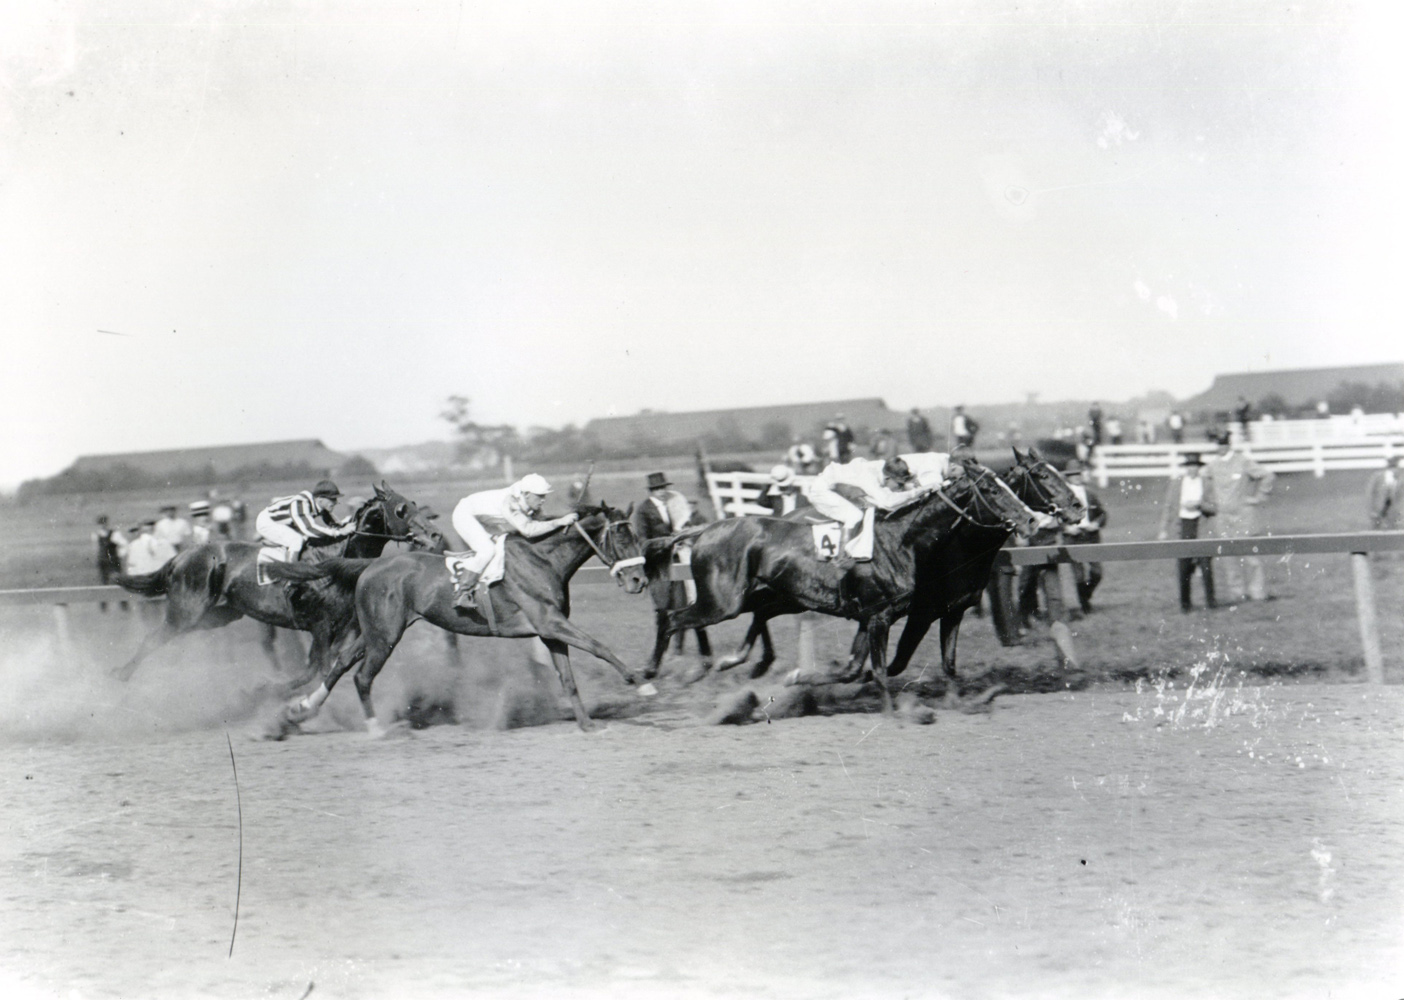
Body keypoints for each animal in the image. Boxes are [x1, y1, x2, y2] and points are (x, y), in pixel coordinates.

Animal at [113, 483, 443, 688]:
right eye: (401, 510)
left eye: (414, 504)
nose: (436, 535)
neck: (337, 561)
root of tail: (182, 555)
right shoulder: (320, 626)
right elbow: (317, 670)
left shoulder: (347, 626)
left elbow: (326, 667)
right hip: (186, 611)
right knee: (152, 639)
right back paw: (117, 677)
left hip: (218, 615)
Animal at [265, 508, 648, 735]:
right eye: (621, 536)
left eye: (637, 535)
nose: (639, 581)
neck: (542, 559)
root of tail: (371, 564)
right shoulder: (550, 623)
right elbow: (599, 646)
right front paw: (640, 682)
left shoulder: (549, 631)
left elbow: (568, 678)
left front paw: (586, 724)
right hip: (385, 635)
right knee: (361, 676)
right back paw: (374, 728)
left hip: (374, 631)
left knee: (341, 664)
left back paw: (300, 710)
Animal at [659, 463, 1044, 713]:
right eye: (992, 490)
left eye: (1010, 486)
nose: (1031, 519)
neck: (904, 540)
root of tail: (704, 529)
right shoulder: (884, 617)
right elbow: (879, 669)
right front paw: (891, 712)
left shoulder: (875, 616)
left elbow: (858, 669)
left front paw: (800, 679)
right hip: (722, 602)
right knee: (673, 618)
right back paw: (668, 672)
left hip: (777, 596)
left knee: (756, 615)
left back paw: (738, 662)